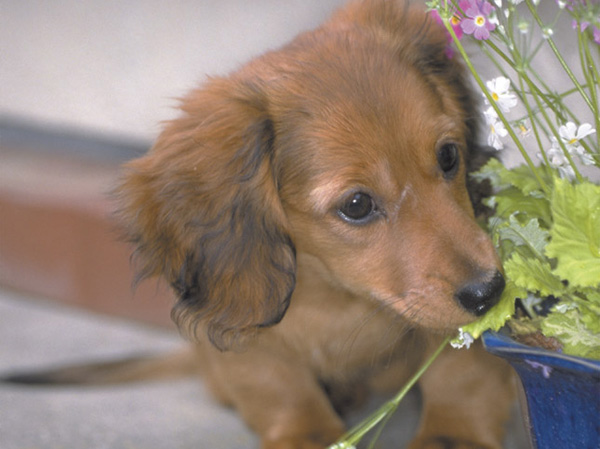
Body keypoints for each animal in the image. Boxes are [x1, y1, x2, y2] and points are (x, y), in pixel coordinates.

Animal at [113, 0, 516, 448]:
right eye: (357, 205)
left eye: (448, 156)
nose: (489, 292)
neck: (338, 297)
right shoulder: (250, 335)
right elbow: (281, 387)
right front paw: (309, 431)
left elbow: (460, 369)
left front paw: (454, 432)